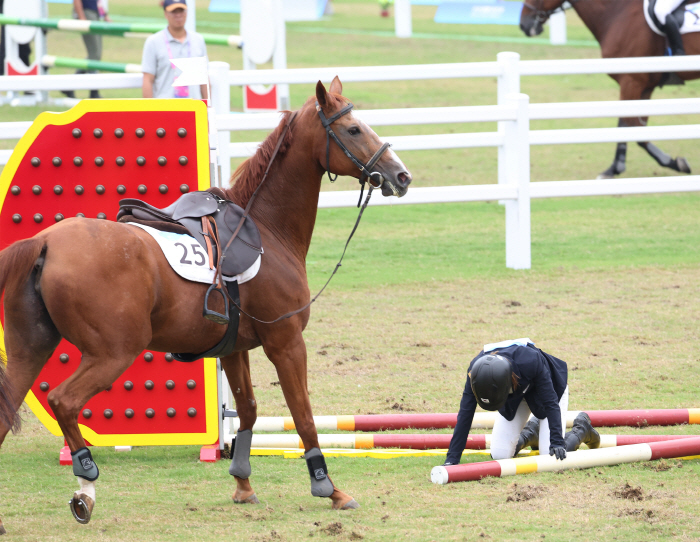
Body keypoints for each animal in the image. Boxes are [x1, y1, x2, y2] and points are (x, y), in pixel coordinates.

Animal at [0, 76, 410, 532]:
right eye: (353, 129)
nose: (401, 175)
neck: (265, 228)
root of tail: (45, 241)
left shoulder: (233, 349)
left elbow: (248, 410)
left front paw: (243, 485)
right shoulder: (285, 343)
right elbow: (303, 415)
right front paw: (329, 488)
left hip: (30, 353)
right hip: (112, 353)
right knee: (63, 403)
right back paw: (85, 482)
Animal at [520, 0, 700, 180]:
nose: (523, 25)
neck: (617, 14)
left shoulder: (631, 82)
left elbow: (631, 127)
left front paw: (674, 163)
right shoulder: (644, 87)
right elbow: (631, 127)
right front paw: (615, 168)